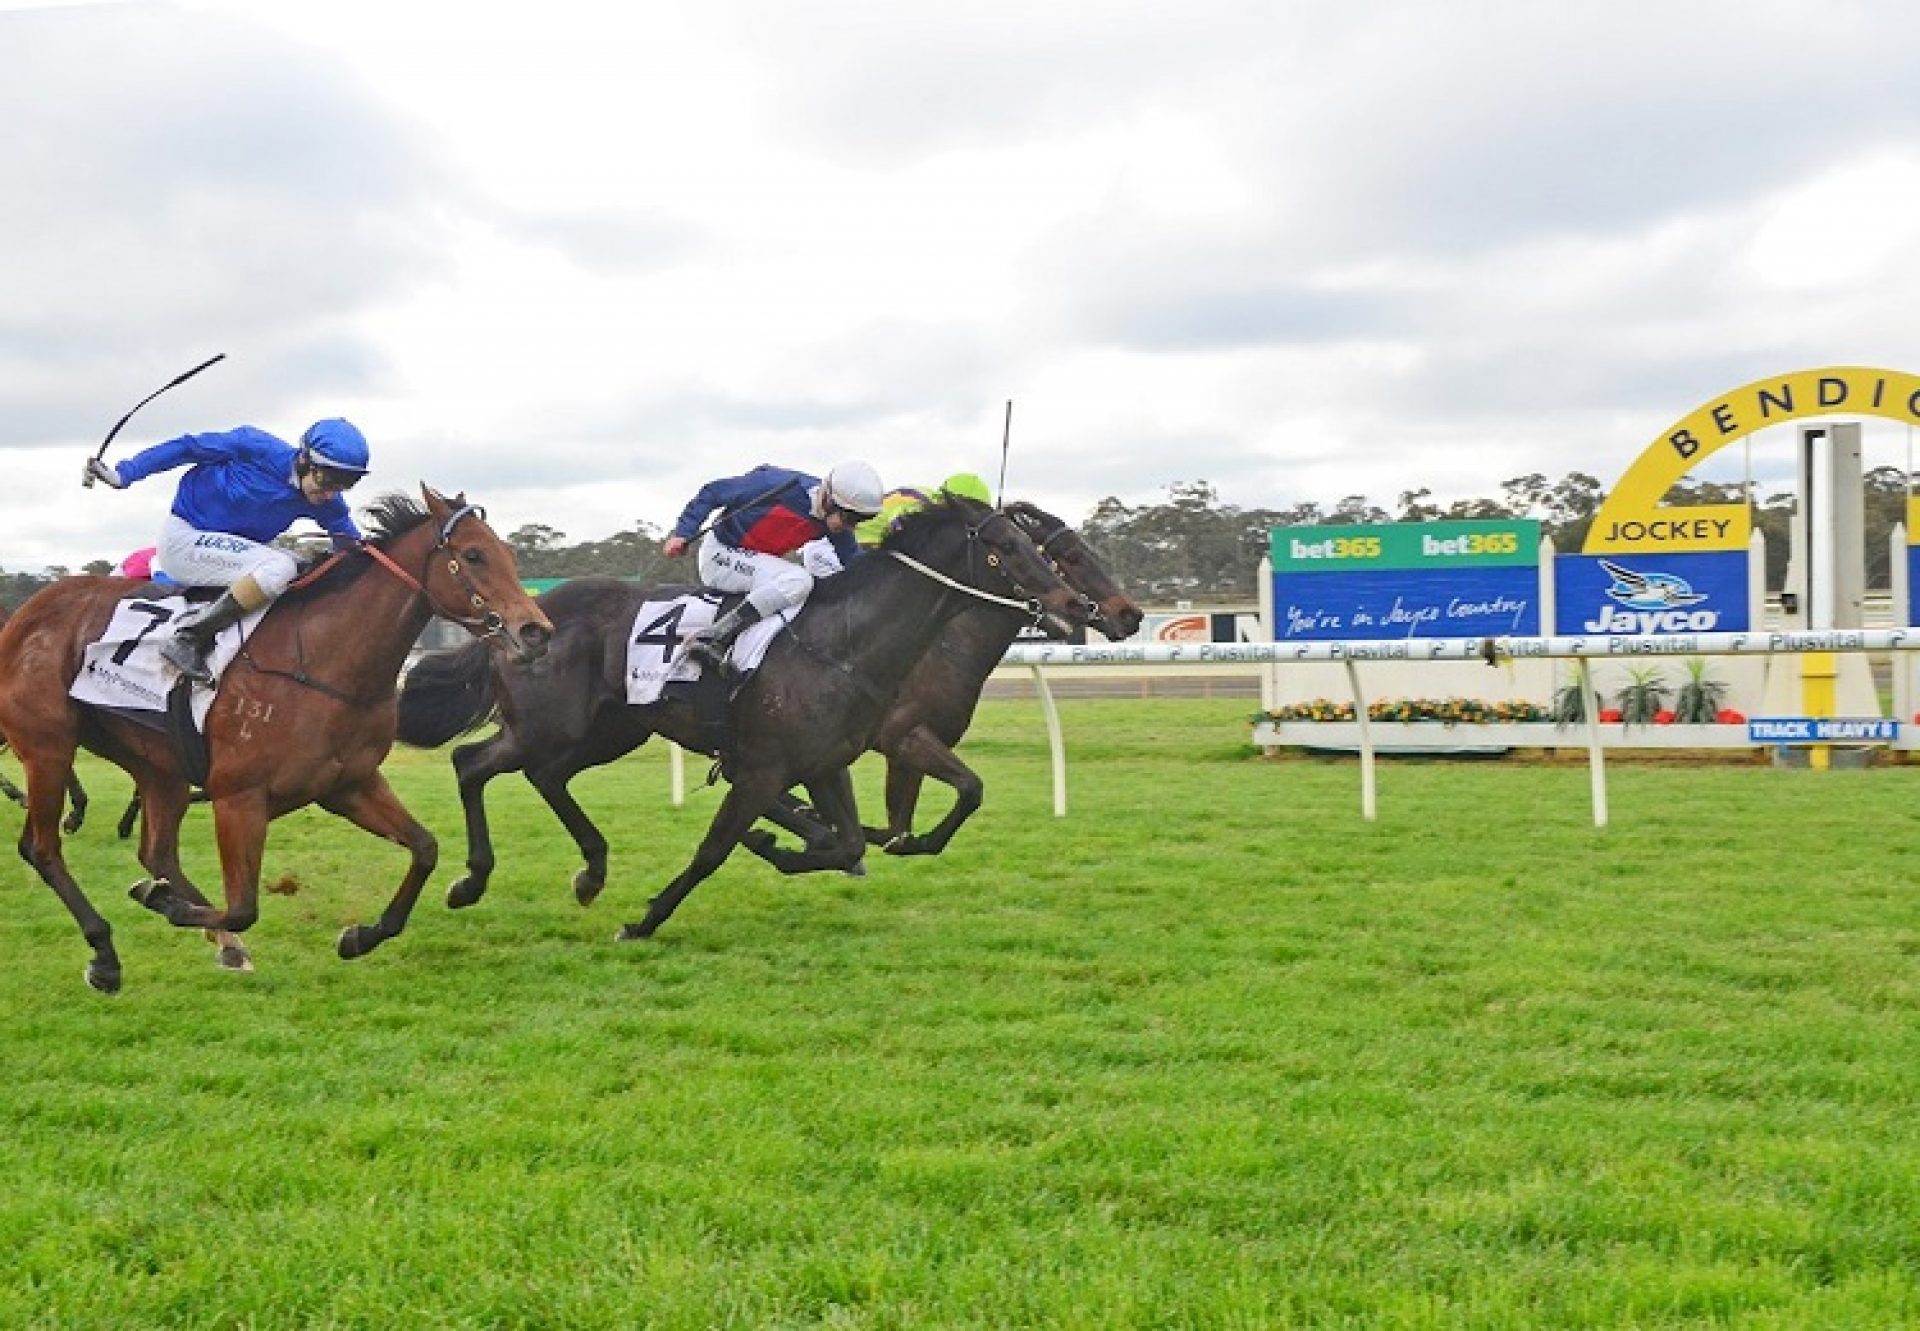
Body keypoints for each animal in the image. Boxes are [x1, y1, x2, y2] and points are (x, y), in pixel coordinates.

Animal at [1, 487, 556, 983]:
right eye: (474, 555)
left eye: (509, 554)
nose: (536, 631)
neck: (323, 662)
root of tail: (24, 616)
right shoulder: (239, 798)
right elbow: (243, 906)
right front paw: (165, 905)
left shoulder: (348, 785)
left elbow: (424, 849)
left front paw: (362, 936)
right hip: (49, 746)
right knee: (42, 848)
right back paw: (106, 952)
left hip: (157, 763)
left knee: (156, 852)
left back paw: (216, 939)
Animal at [395, 491, 1090, 941]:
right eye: (1004, 547)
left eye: (1036, 545)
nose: (1069, 604)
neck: (842, 645)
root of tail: (518, 620)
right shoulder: (762, 769)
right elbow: (713, 850)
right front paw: (645, 921)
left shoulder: (823, 764)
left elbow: (845, 843)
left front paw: (780, 842)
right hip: (552, 724)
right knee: (473, 762)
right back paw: (477, 880)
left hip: (612, 729)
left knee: (536, 774)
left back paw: (583, 872)